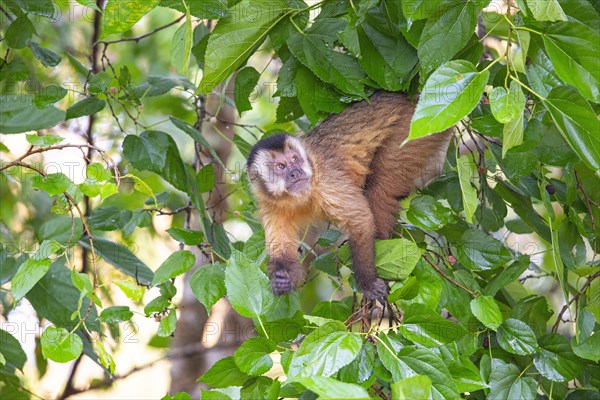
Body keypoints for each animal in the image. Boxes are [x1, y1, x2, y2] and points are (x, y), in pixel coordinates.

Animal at [247, 92, 450, 302]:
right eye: (281, 166)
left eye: (295, 159)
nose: (295, 172)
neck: (296, 198)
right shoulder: (270, 206)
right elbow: (284, 252)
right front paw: (282, 278)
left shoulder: (325, 182)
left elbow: (360, 221)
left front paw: (368, 283)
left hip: (412, 128)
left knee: (379, 189)